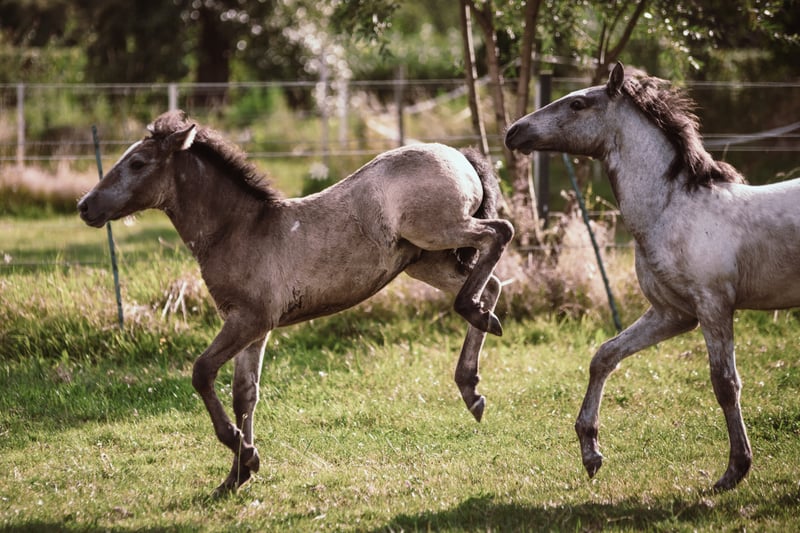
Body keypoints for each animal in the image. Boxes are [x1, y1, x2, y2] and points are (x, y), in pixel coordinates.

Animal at [78, 110, 514, 494]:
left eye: (137, 162)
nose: (84, 205)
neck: (238, 229)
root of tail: (460, 155)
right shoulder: (253, 330)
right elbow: (245, 394)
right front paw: (237, 475)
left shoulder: (249, 321)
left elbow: (202, 372)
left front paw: (243, 453)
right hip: (426, 259)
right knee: (491, 285)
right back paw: (472, 382)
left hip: (438, 230)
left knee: (499, 232)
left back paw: (473, 319)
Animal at [505, 62, 800, 491]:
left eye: (577, 104)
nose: (514, 131)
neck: (672, 210)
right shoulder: (673, 314)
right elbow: (604, 356)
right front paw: (590, 453)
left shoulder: (713, 307)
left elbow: (725, 384)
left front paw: (734, 471)